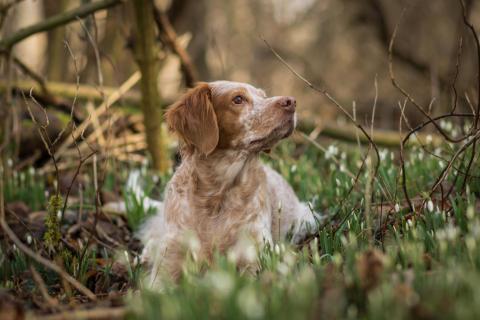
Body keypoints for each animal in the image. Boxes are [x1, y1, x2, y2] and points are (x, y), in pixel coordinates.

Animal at [138, 81, 318, 284]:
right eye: (238, 99)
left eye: (263, 96)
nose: (291, 102)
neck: (216, 196)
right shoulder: (167, 264)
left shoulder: (254, 259)